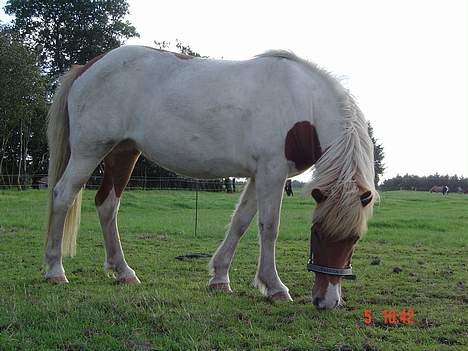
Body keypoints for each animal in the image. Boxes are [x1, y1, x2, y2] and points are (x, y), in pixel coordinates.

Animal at [44, 45, 376, 310]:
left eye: (355, 239)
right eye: (317, 233)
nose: (326, 301)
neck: (304, 103)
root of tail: (88, 67)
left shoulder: (259, 175)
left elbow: (241, 223)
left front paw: (219, 278)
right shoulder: (272, 172)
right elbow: (268, 228)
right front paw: (275, 287)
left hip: (123, 153)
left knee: (107, 205)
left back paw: (123, 272)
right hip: (89, 151)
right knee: (63, 196)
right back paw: (55, 271)